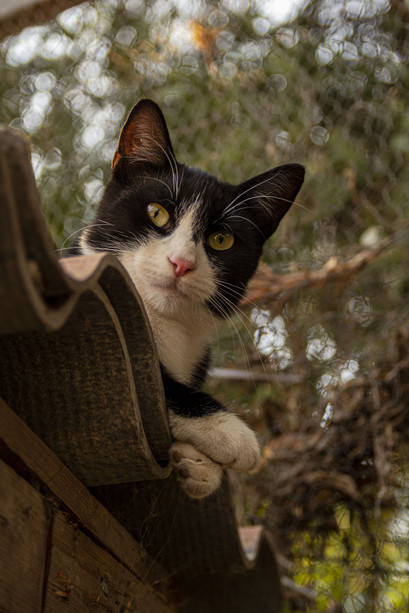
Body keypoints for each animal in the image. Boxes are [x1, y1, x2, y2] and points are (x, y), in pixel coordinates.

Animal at [76, 99, 302, 498]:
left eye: (221, 240)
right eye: (157, 213)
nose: (181, 262)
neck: (170, 327)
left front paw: (200, 469)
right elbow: (153, 384)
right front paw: (232, 434)